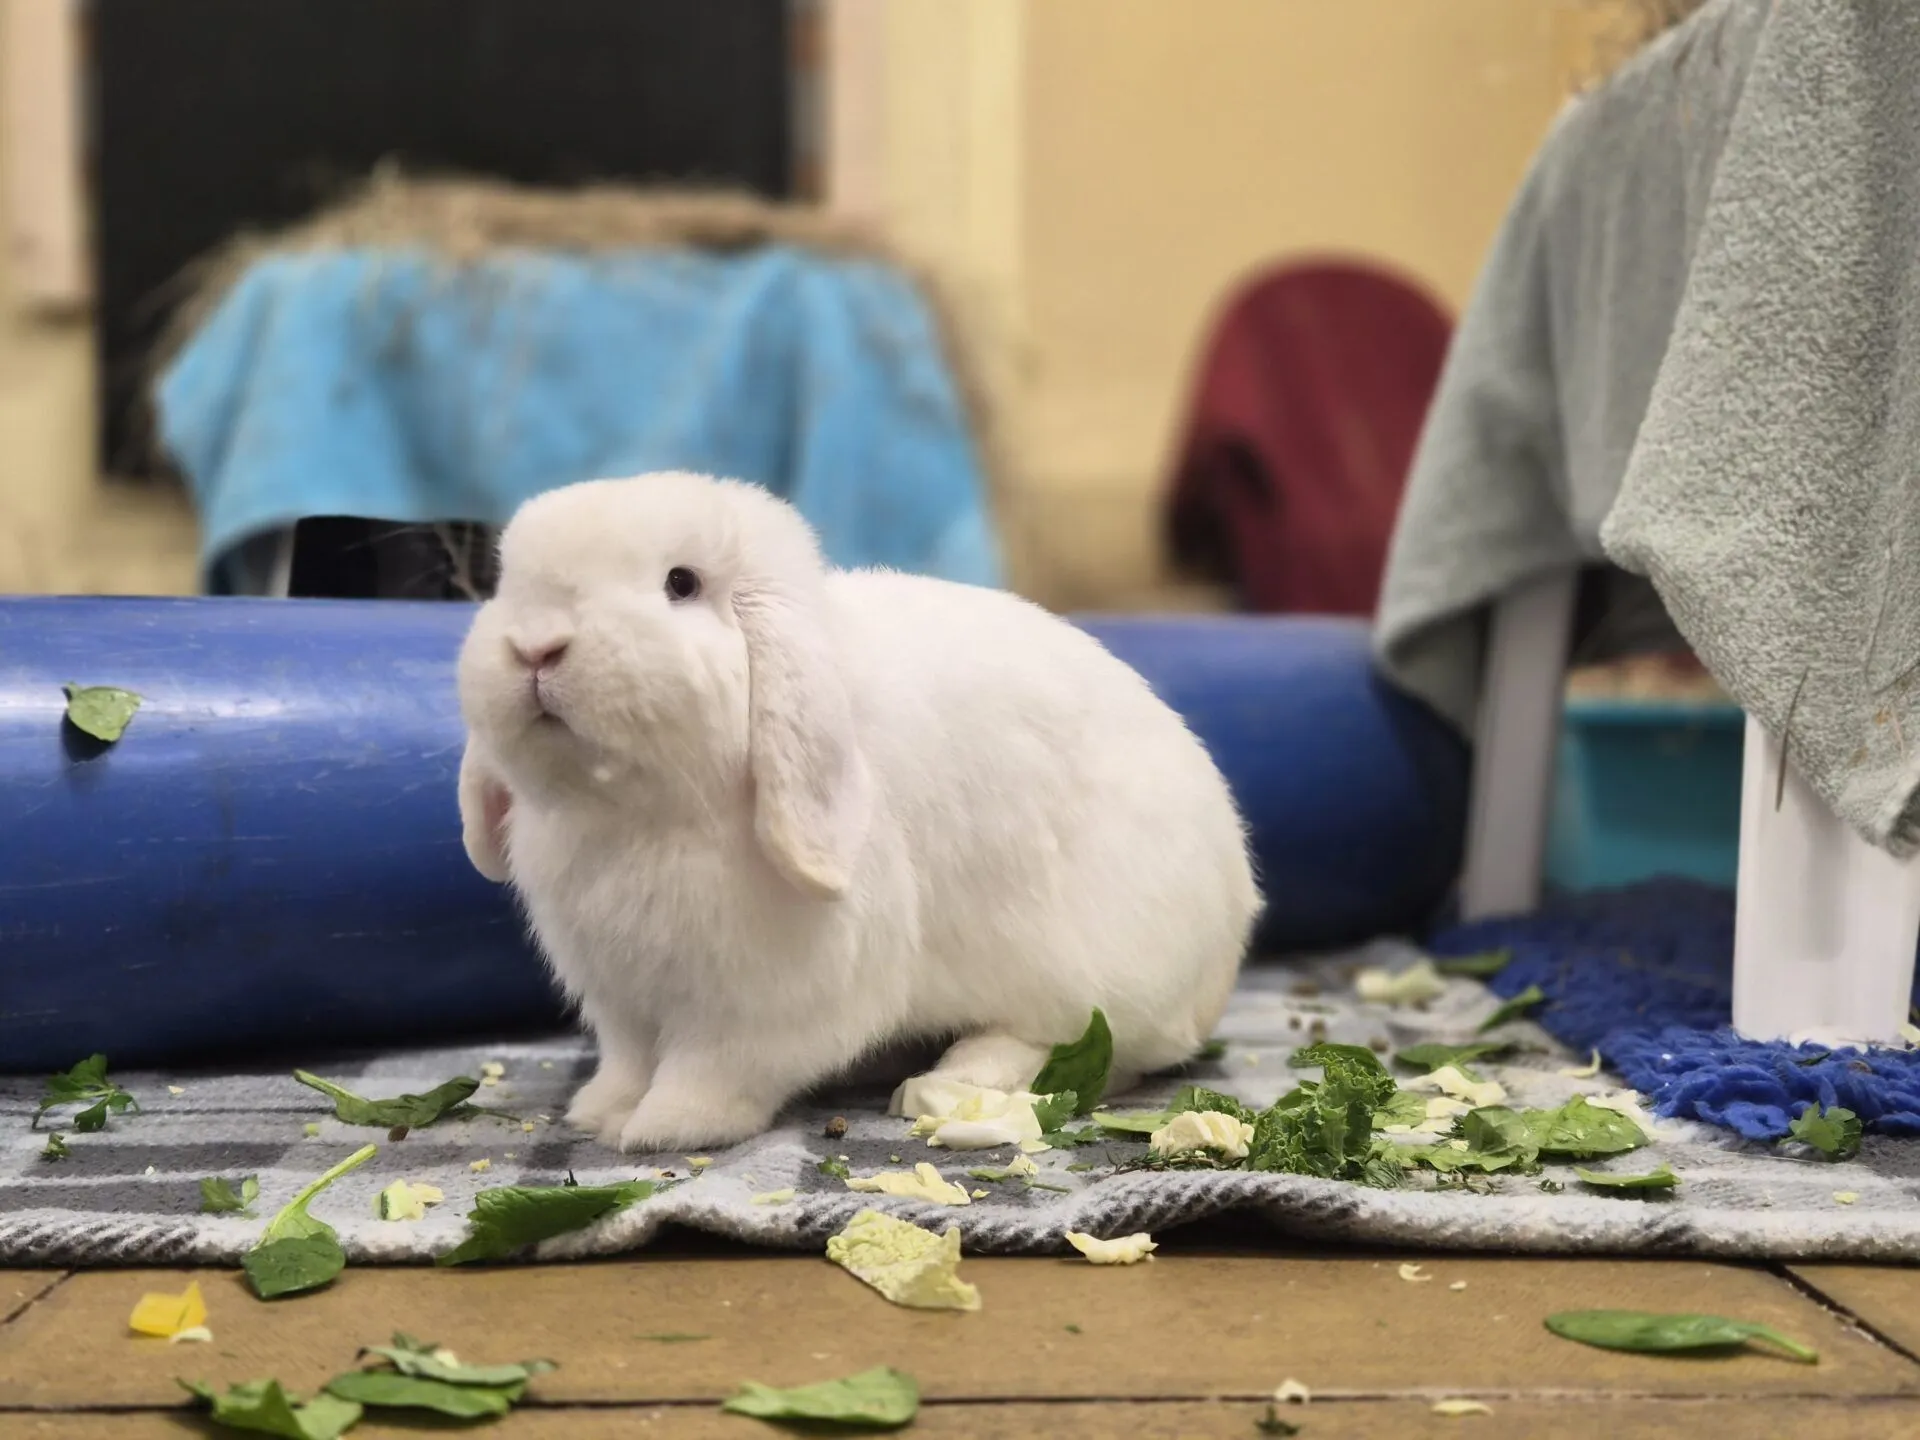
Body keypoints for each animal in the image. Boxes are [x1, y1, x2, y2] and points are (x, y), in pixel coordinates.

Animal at [456, 471, 1261, 1151]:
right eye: (507, 581)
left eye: (680, 583)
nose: (535, 646)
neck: (634, 815)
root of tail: (1226, 945)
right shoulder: (622, 1000)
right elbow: (627, 1062)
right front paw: (597, 1114)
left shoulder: (756, 1006)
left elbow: (712, 1070)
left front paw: (663, 1129)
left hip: (1090, 979)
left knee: (1090, 1050)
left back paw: (957, 1078)